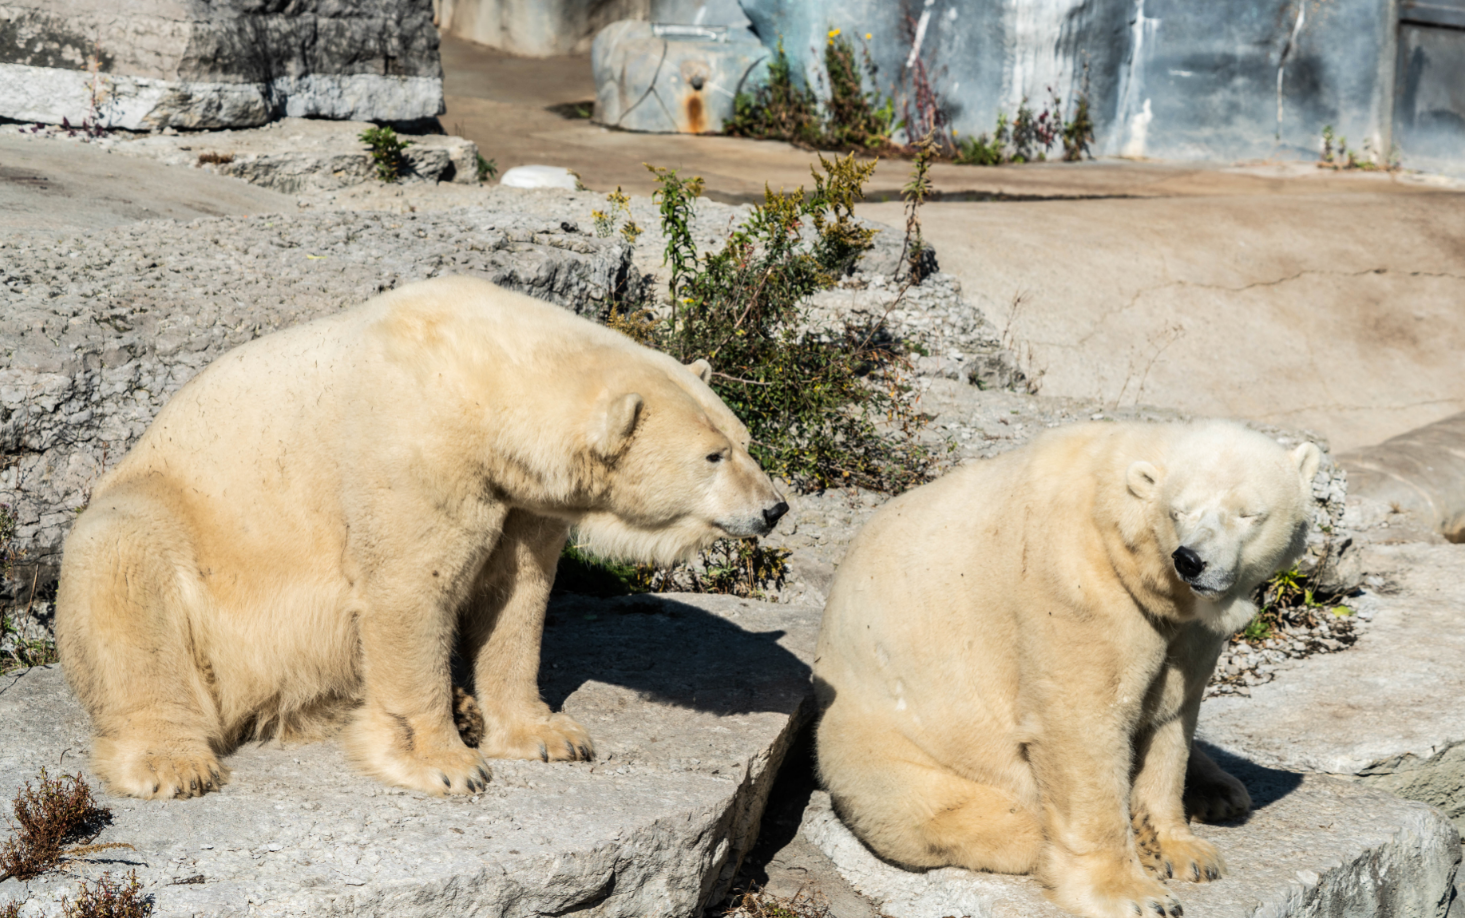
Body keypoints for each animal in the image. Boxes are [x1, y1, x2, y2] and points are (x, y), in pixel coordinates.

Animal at [55, 275, 788, 800]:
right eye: (713, 456)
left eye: (746, 441)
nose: (775, 508)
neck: (476, 371)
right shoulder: (413, 455)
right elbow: (411, 592)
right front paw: (446, 763)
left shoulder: (519, 499)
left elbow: (516, 597)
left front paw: (549, 735)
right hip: (173, 532)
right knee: (127, 579)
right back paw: (174, 764)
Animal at [813, 420, 1320, 918]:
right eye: (1180, 511)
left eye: (1248, 513)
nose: (1191, 560)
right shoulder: (1076, 588)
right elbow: (1081, 725)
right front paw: (1136, 893)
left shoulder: (1185, 626)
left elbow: (1172, 715)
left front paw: (1187, 853)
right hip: (889, 748)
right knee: (952, 811)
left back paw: (1219, 790)